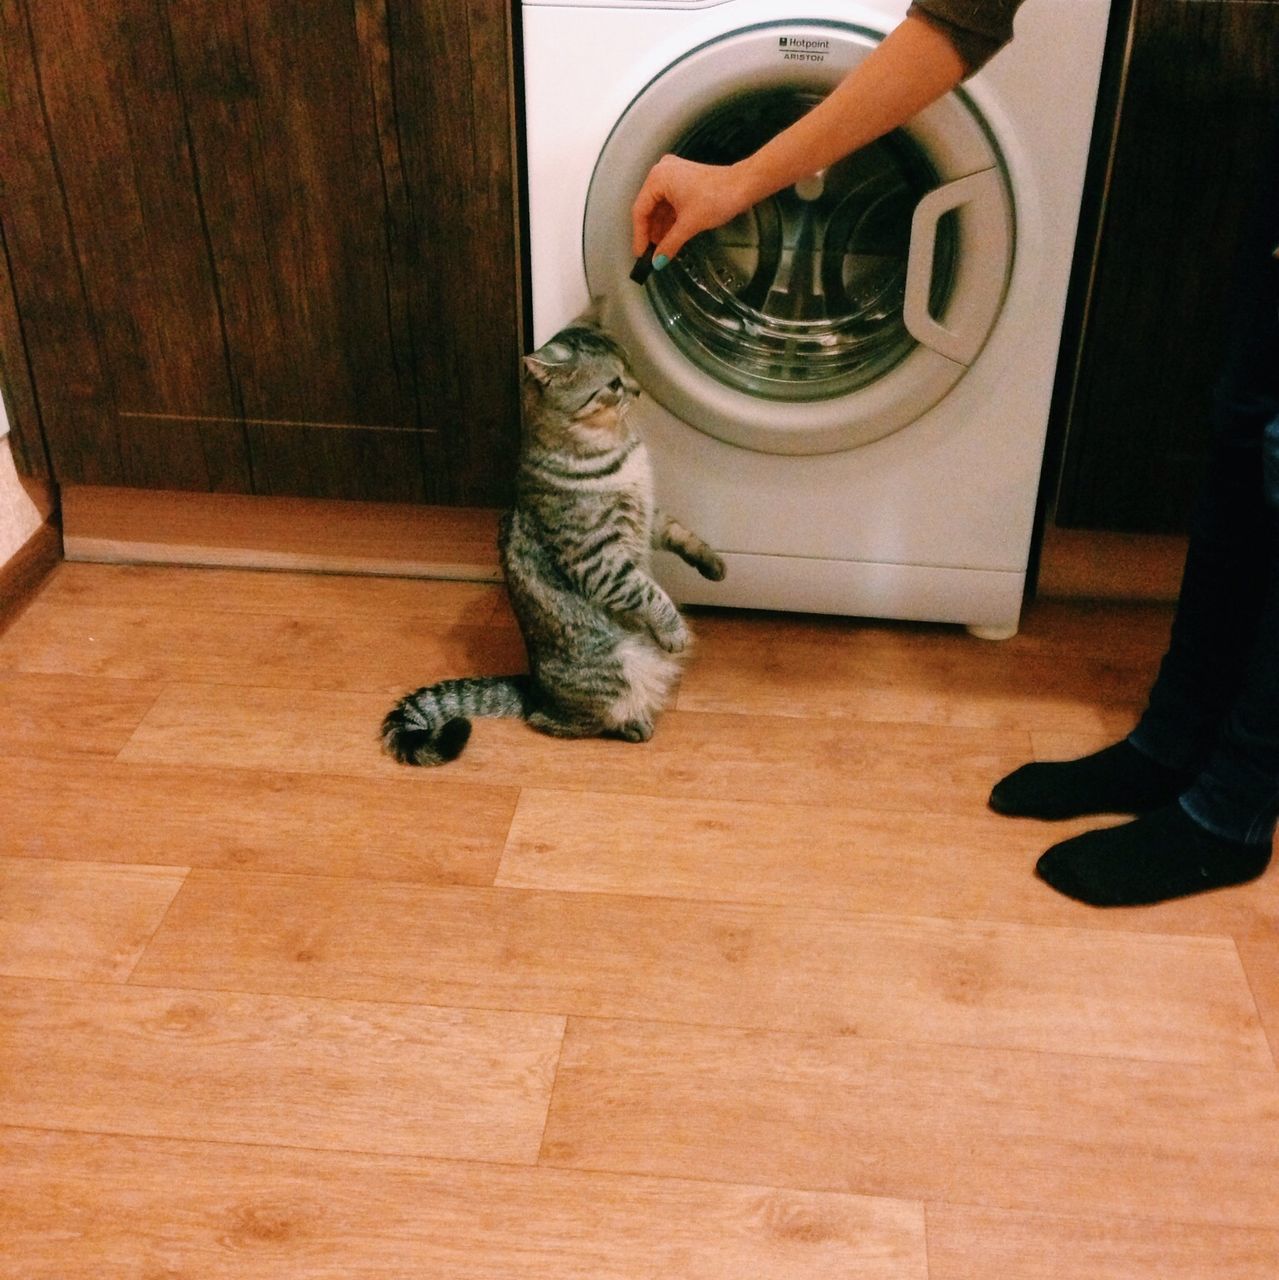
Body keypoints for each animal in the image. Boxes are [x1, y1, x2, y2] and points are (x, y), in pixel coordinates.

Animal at [378, 314, 727, 762]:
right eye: (614, 384)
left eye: (631, 367)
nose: (637, 389)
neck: (618, 446)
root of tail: (533, 688)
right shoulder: (600, 559)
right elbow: (649, 594)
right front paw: (675, 632)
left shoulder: (650, 519)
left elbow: (681, 533)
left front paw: (713, 563)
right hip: (613, 672)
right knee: (556, 722)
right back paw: (634, 725)